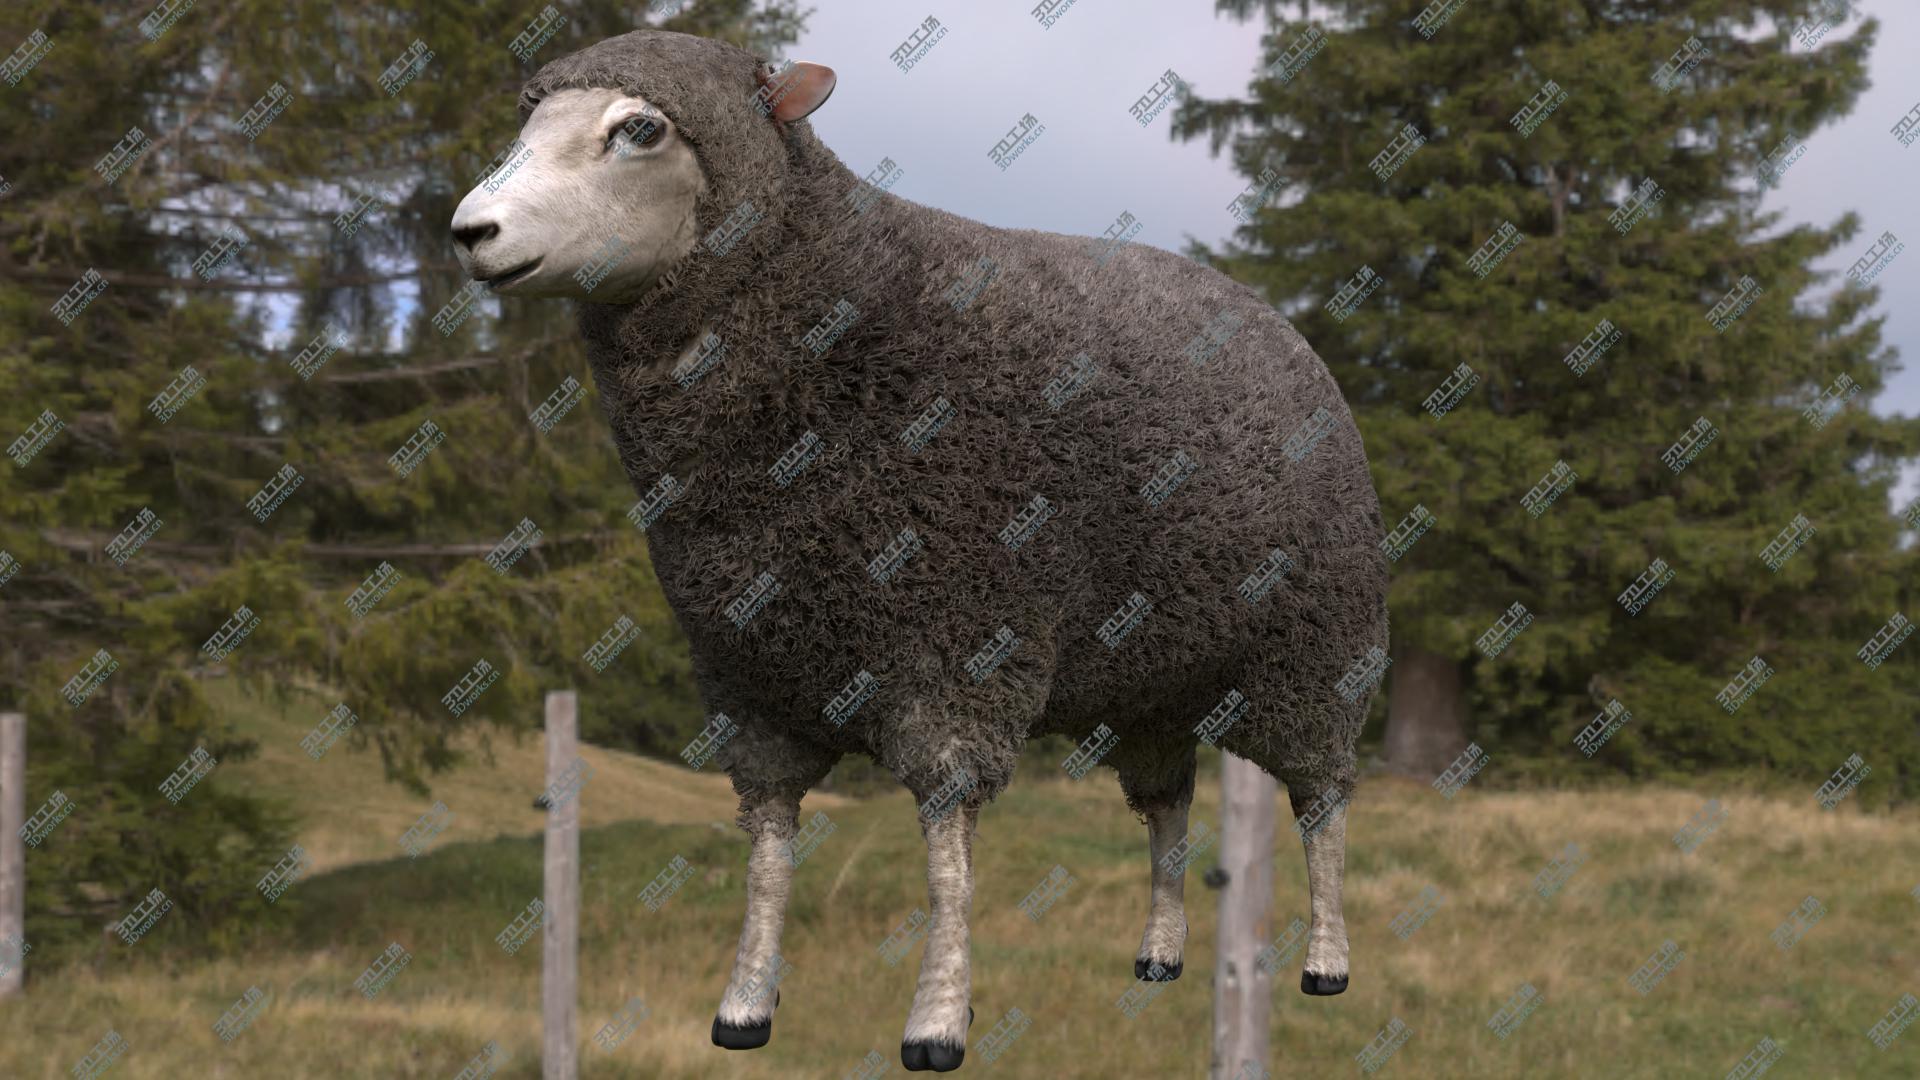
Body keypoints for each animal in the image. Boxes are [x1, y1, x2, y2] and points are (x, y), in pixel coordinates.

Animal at [449, 29, 1390, 1073]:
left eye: (641, 128)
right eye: (530, 116)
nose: (470, 230)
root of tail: (1278, 325)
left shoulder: (959, 642)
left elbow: (946, 848)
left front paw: (938, 1019)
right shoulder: (751, 677)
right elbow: (767, 850)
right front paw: (744, 1007)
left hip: (1318, 649)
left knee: (1322, 804)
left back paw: (1326, 963)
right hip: (1155, 675)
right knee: (1169, 807)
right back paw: (1159, 954)